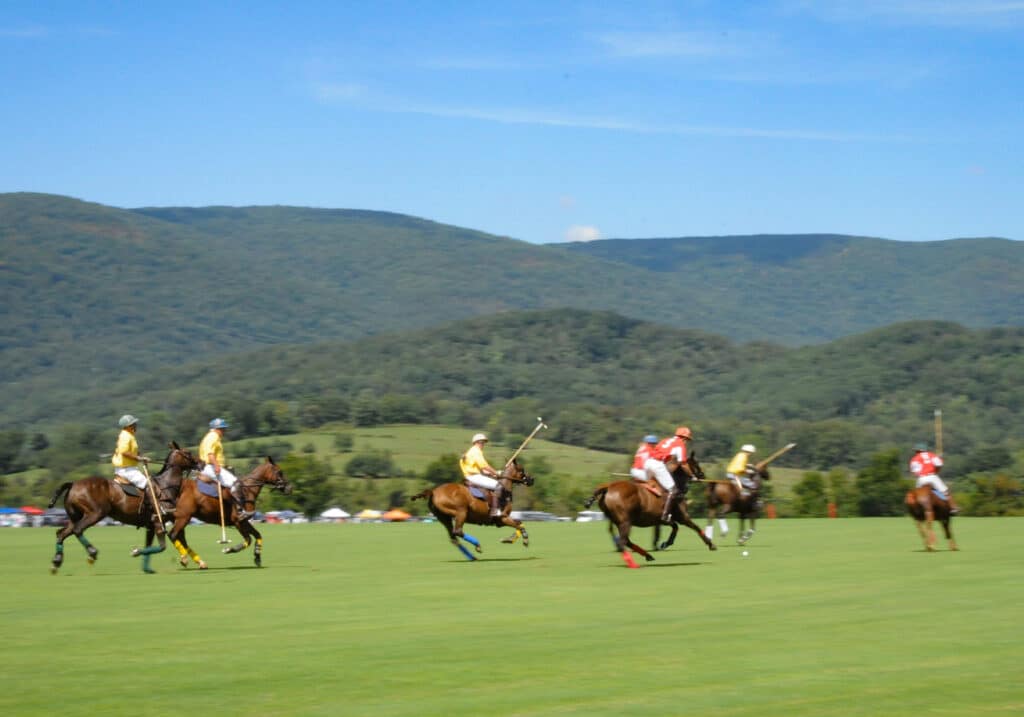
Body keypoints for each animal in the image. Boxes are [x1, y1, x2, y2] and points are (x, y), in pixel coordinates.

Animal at [48, 442, 200, 577]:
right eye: (188, 453)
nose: (200, 463)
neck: (165, 486)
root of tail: (73, 484)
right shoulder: (158, 521)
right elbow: (162, 547)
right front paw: (136, 552)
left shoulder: (150, 525)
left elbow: (149, 545)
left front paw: (146, 567)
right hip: (95, 513)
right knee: (78, 529)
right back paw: (92, 553)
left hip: (76, 516)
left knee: (61, 533)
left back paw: (56, 562)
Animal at [407, 458, 536, 561]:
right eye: (521, 470)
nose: (531, 479)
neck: (504, 490)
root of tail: (433, 492)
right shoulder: (502, 518)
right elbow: (519, 525)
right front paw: (523, 540)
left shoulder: (501, 521)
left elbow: (519, 523)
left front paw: (508, 539)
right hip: (461, 512)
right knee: (457, 531)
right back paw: (477, 546)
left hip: (443, 518)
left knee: (453, 537)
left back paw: (471, 556)